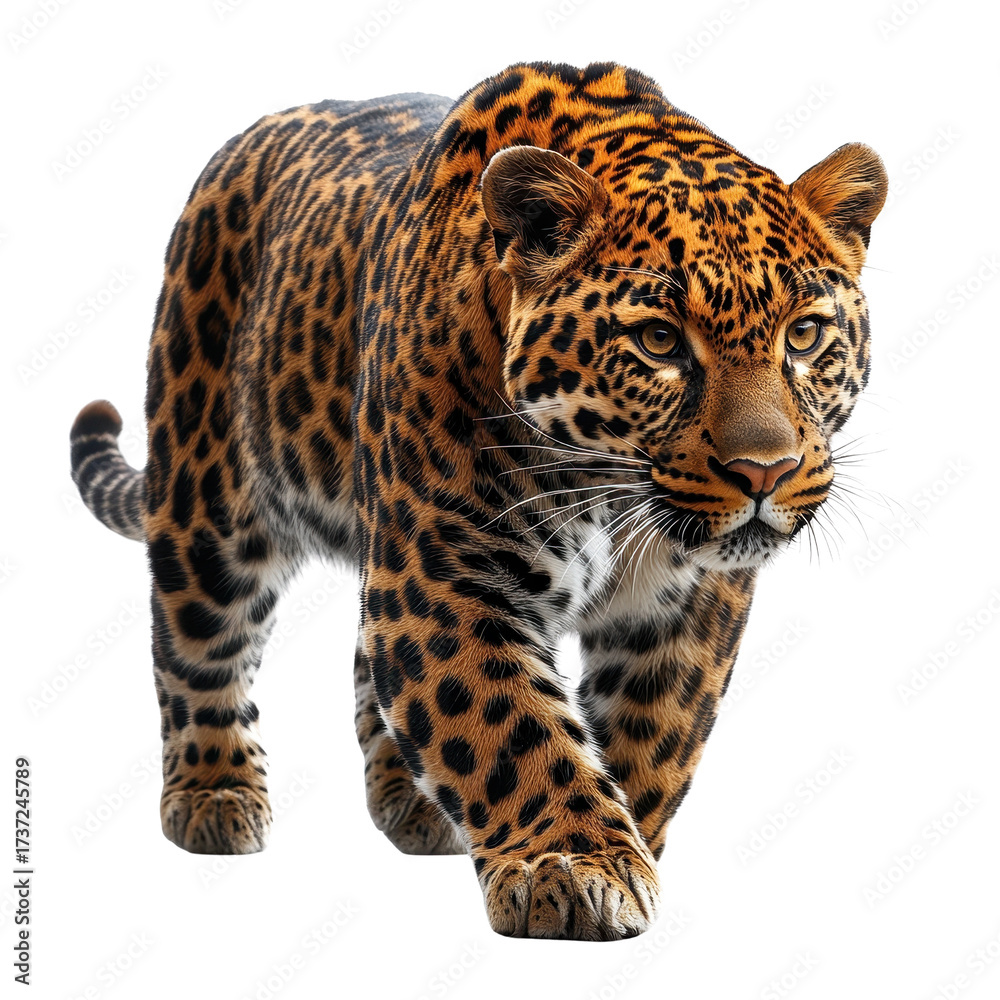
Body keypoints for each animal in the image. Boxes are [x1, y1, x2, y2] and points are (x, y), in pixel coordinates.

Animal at [69, 61, 887, 940]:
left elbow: (650, 737)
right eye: (660, 341)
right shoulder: (447, 577)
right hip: (209, 489)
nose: (765, 472)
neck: (608, 493)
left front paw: (622, 842)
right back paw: (213, 793)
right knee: (198, 639)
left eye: (804, 336)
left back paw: (417, 805)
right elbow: (511, 728)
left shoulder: (686, 603)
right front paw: (573, 866)